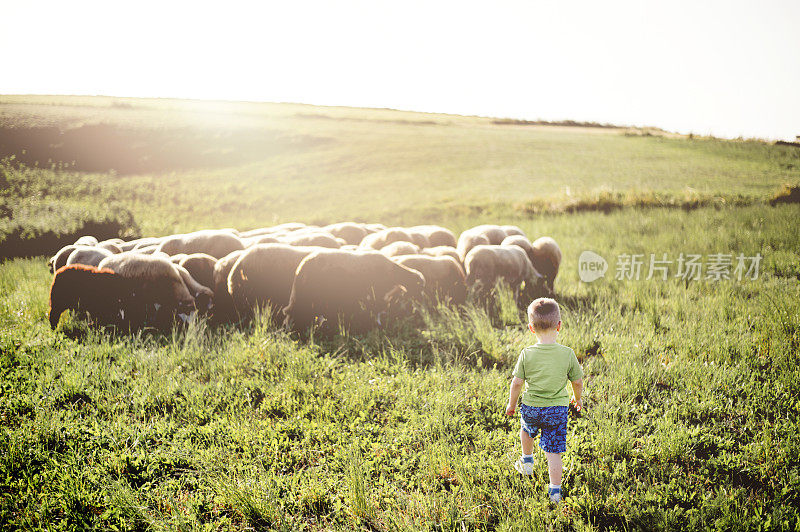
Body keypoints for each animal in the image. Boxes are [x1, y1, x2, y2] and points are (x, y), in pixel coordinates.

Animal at [286, 248, 428, 332]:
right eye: (419, 286)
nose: (421, 303)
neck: (393, 274)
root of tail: (302, 266)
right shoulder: (376, 295)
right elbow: (376, 311)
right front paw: (377, 325)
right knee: (292, 312)